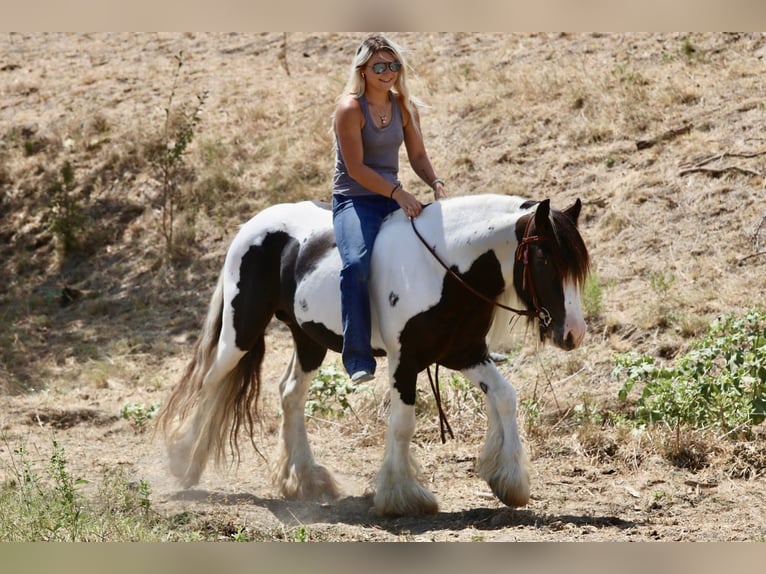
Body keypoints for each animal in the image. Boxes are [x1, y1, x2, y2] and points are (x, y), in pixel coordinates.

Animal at [156, 193, 590, 517]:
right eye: (545, 259)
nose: (573, 333)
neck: (445, 269)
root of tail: (252, 226)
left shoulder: (464, 353)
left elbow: (505, 397)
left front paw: (510, 482)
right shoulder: (405, 360)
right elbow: (402, 424)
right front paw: (402, 496)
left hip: (308, 340)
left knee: (290, 394)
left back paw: (306, 479)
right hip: (241, 331)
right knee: (213, 382)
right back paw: (184, 462)